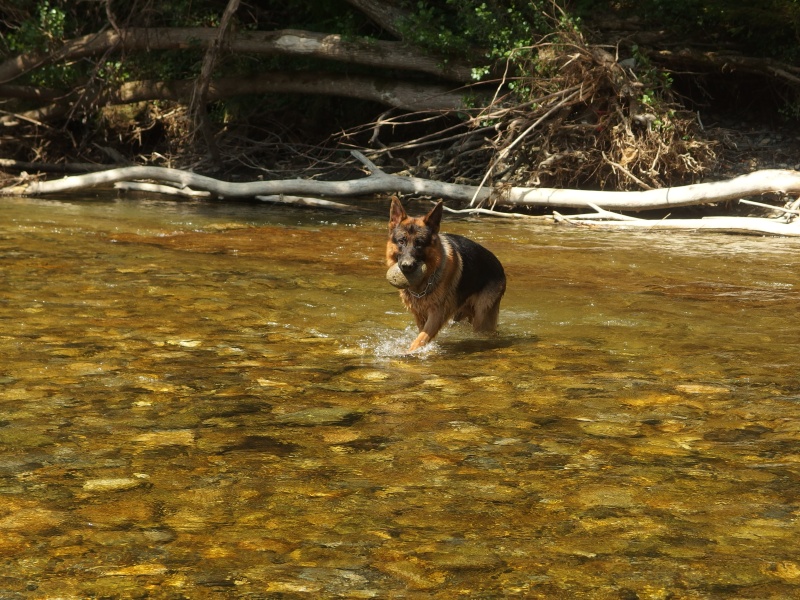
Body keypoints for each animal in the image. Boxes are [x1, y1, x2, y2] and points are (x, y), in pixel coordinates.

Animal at [386, 196, 506, 352]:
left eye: (420, 243)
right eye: (401, 241)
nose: (407, 266)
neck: (423, 284)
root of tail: (499, 264)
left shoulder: (437, 314)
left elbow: (420, 340)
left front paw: (408, 353)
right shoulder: (420, 315)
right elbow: (421, 336)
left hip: (481, 319)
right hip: (461, 316)